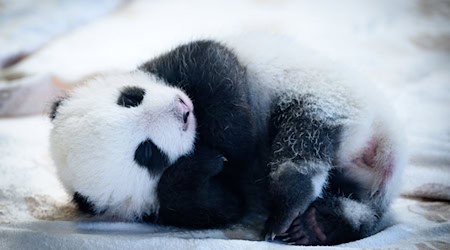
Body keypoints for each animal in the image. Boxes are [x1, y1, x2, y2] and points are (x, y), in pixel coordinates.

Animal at [51, 35, 406, 246]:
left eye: (130, 98)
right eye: (147, 153)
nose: (181, 111)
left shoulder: (177, 64)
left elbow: (214, 64)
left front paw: (230, 140)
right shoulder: (165, 210)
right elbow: (224, 204)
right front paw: (202, 165)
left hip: (327, 93)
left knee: (302, 135)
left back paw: (295, 210)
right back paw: (315, 222)